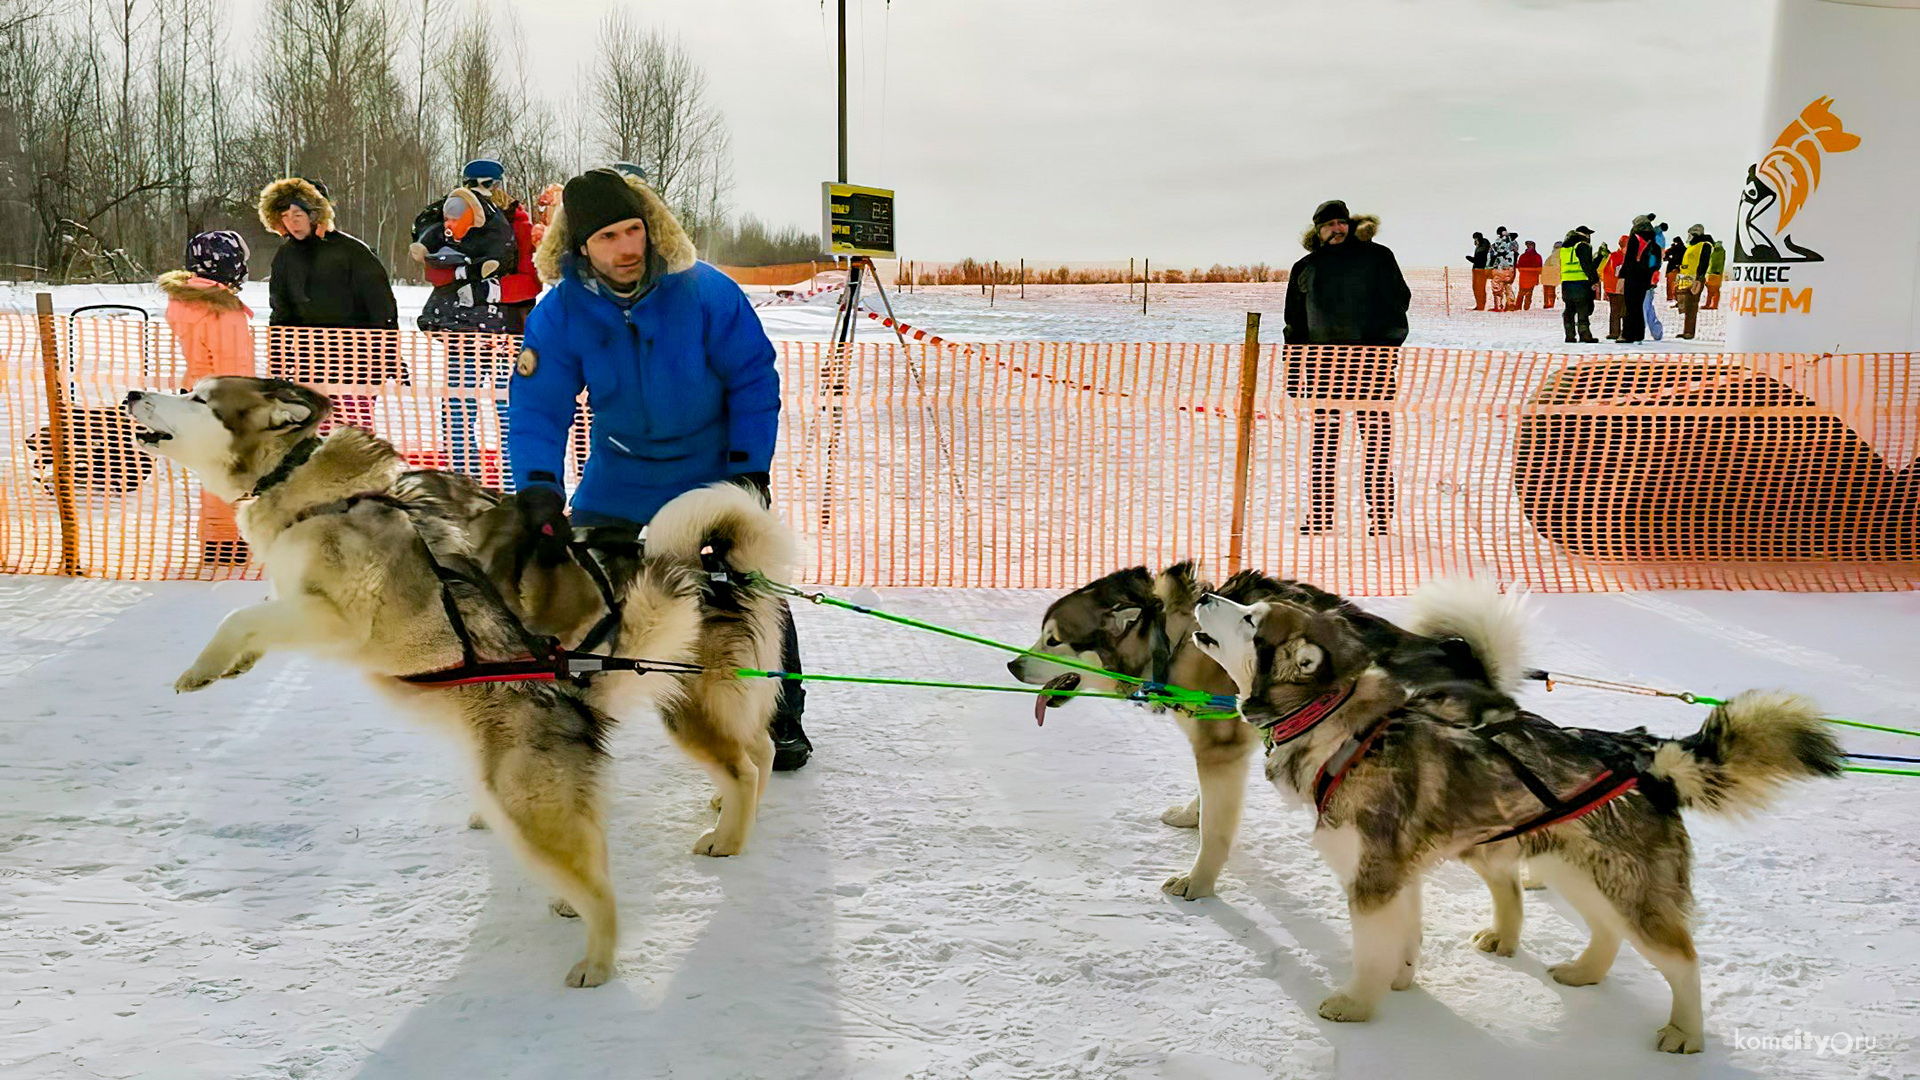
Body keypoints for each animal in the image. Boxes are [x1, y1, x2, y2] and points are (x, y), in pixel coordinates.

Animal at [121, 376, 794, 983]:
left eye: (198, 397)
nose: (131, 395)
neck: (299, 479)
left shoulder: (339, 619)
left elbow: (239, 616)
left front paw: (200, 668)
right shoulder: (297, 607)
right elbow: (254, 621)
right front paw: (229, 663)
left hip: (562, 785)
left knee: (637, 860)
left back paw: (614, 946)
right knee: (742, 760)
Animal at [1006, 564, 1528, 899]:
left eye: (1053, 640)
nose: (1012, 665)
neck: (1173, 638)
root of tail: (1469, 660)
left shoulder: (1219, 753)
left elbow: (1216, 832)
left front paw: (1198, 883)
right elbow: (1205, 803)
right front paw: (1191, 813)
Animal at [1190, 588, 1835, 1053]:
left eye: (1251, 618)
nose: (1203, 594)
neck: (1339, 728)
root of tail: (1646, 754)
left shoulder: (1373, 877)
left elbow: (1371, 952)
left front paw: (1357, 1004)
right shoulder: (1399, 872)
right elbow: (1403, 938)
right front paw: (1402, 979)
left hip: (1631, 890)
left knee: (1684, 961)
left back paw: (1686, 1033)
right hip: (1578, 869)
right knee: (1607, 931)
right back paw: (1584, 972)